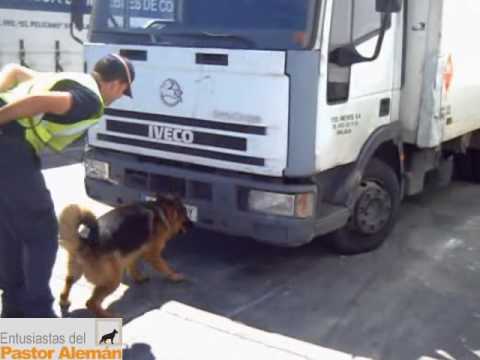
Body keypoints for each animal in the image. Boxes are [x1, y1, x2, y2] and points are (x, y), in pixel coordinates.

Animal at [56, 195, 191, 316]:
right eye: (185, 217)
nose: (192, 225)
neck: (160, 210)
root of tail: (84, 240)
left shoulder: (134, 252)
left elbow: (133, 266)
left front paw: (139, 278)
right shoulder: (153, 254)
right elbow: (164, 266)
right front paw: (174, 276)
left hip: (76, 272)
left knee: (68, 282)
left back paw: (64, 301)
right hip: (113, 280)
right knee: (91, 302)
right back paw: (107, 315)